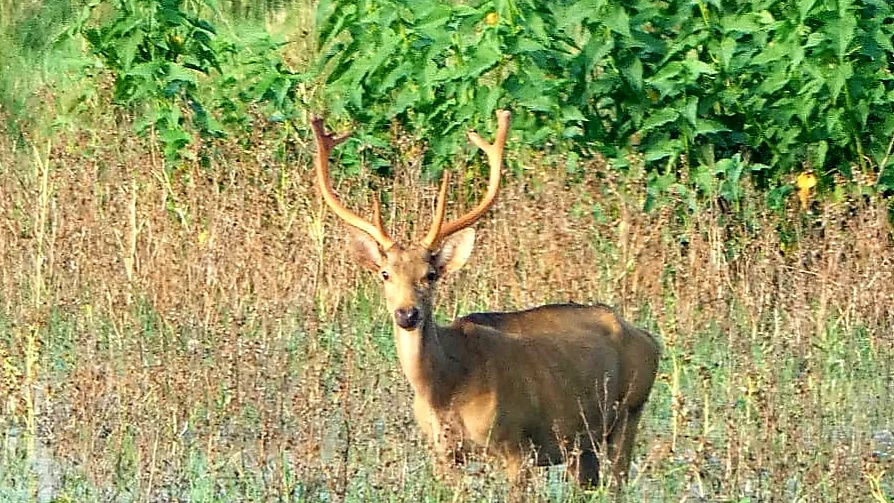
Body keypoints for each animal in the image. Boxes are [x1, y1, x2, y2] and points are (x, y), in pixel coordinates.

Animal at [310, 109, 661, 490]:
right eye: (385, 274)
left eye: (430, 274)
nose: (407, 314)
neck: (445, 388)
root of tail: (648, 338)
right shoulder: (443, 453)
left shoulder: (517, 444)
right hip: (581, 445)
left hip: (629, 413)